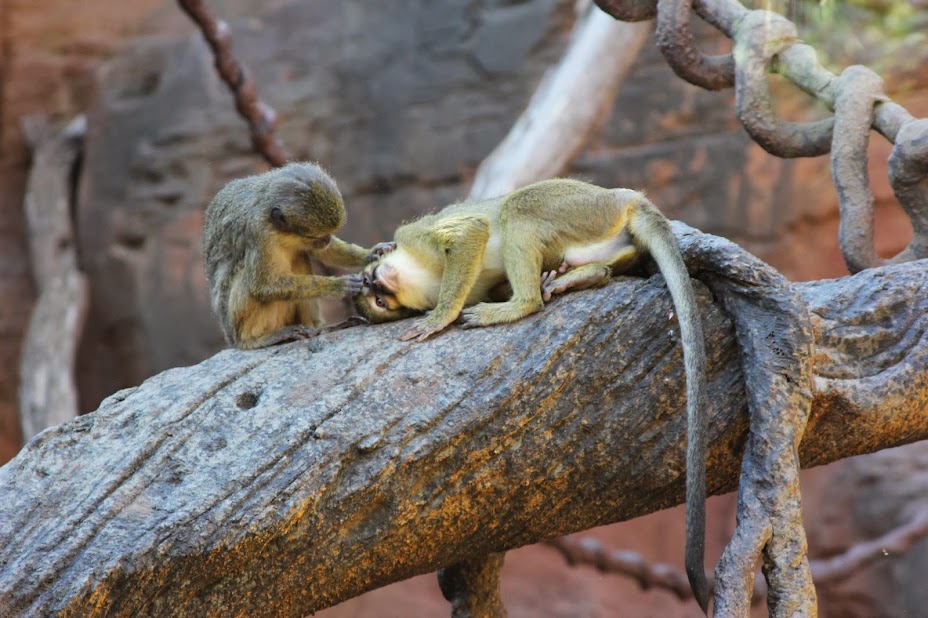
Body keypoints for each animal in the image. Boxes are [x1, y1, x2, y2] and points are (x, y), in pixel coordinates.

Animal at [203, 161, 392, 348]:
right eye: (316, 236)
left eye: (328, 234)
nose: (326, 240)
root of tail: (232, 339)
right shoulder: (258, 233)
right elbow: (264, 285)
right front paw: (337, 286)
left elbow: (324, 253)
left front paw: (372, 254)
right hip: (236, 322)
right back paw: (255, 339)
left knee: (300, 258)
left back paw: (320, 328)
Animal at [356, 178, 712, 612]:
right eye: (378, 300)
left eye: (374, 284)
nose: (375, 284)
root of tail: (627, 198)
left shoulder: (415, 234)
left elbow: (471, 231)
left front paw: (441, 315)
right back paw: (580, 278)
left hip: (588, 208)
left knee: (519, 208)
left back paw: (524, 301)